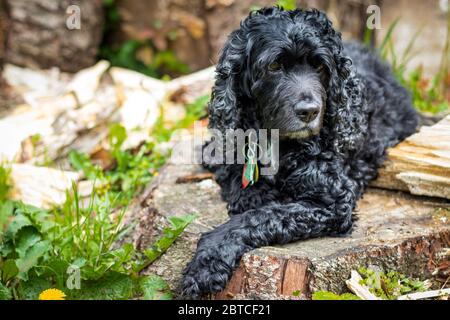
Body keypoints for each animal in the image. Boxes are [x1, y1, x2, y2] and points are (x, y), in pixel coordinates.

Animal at [180, 6, 418, 298]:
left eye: (320, 66)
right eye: (274, 66)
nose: (309, 111)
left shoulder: (333, 203)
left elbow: (263, 215)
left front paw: (209, 258)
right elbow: (242, 187)